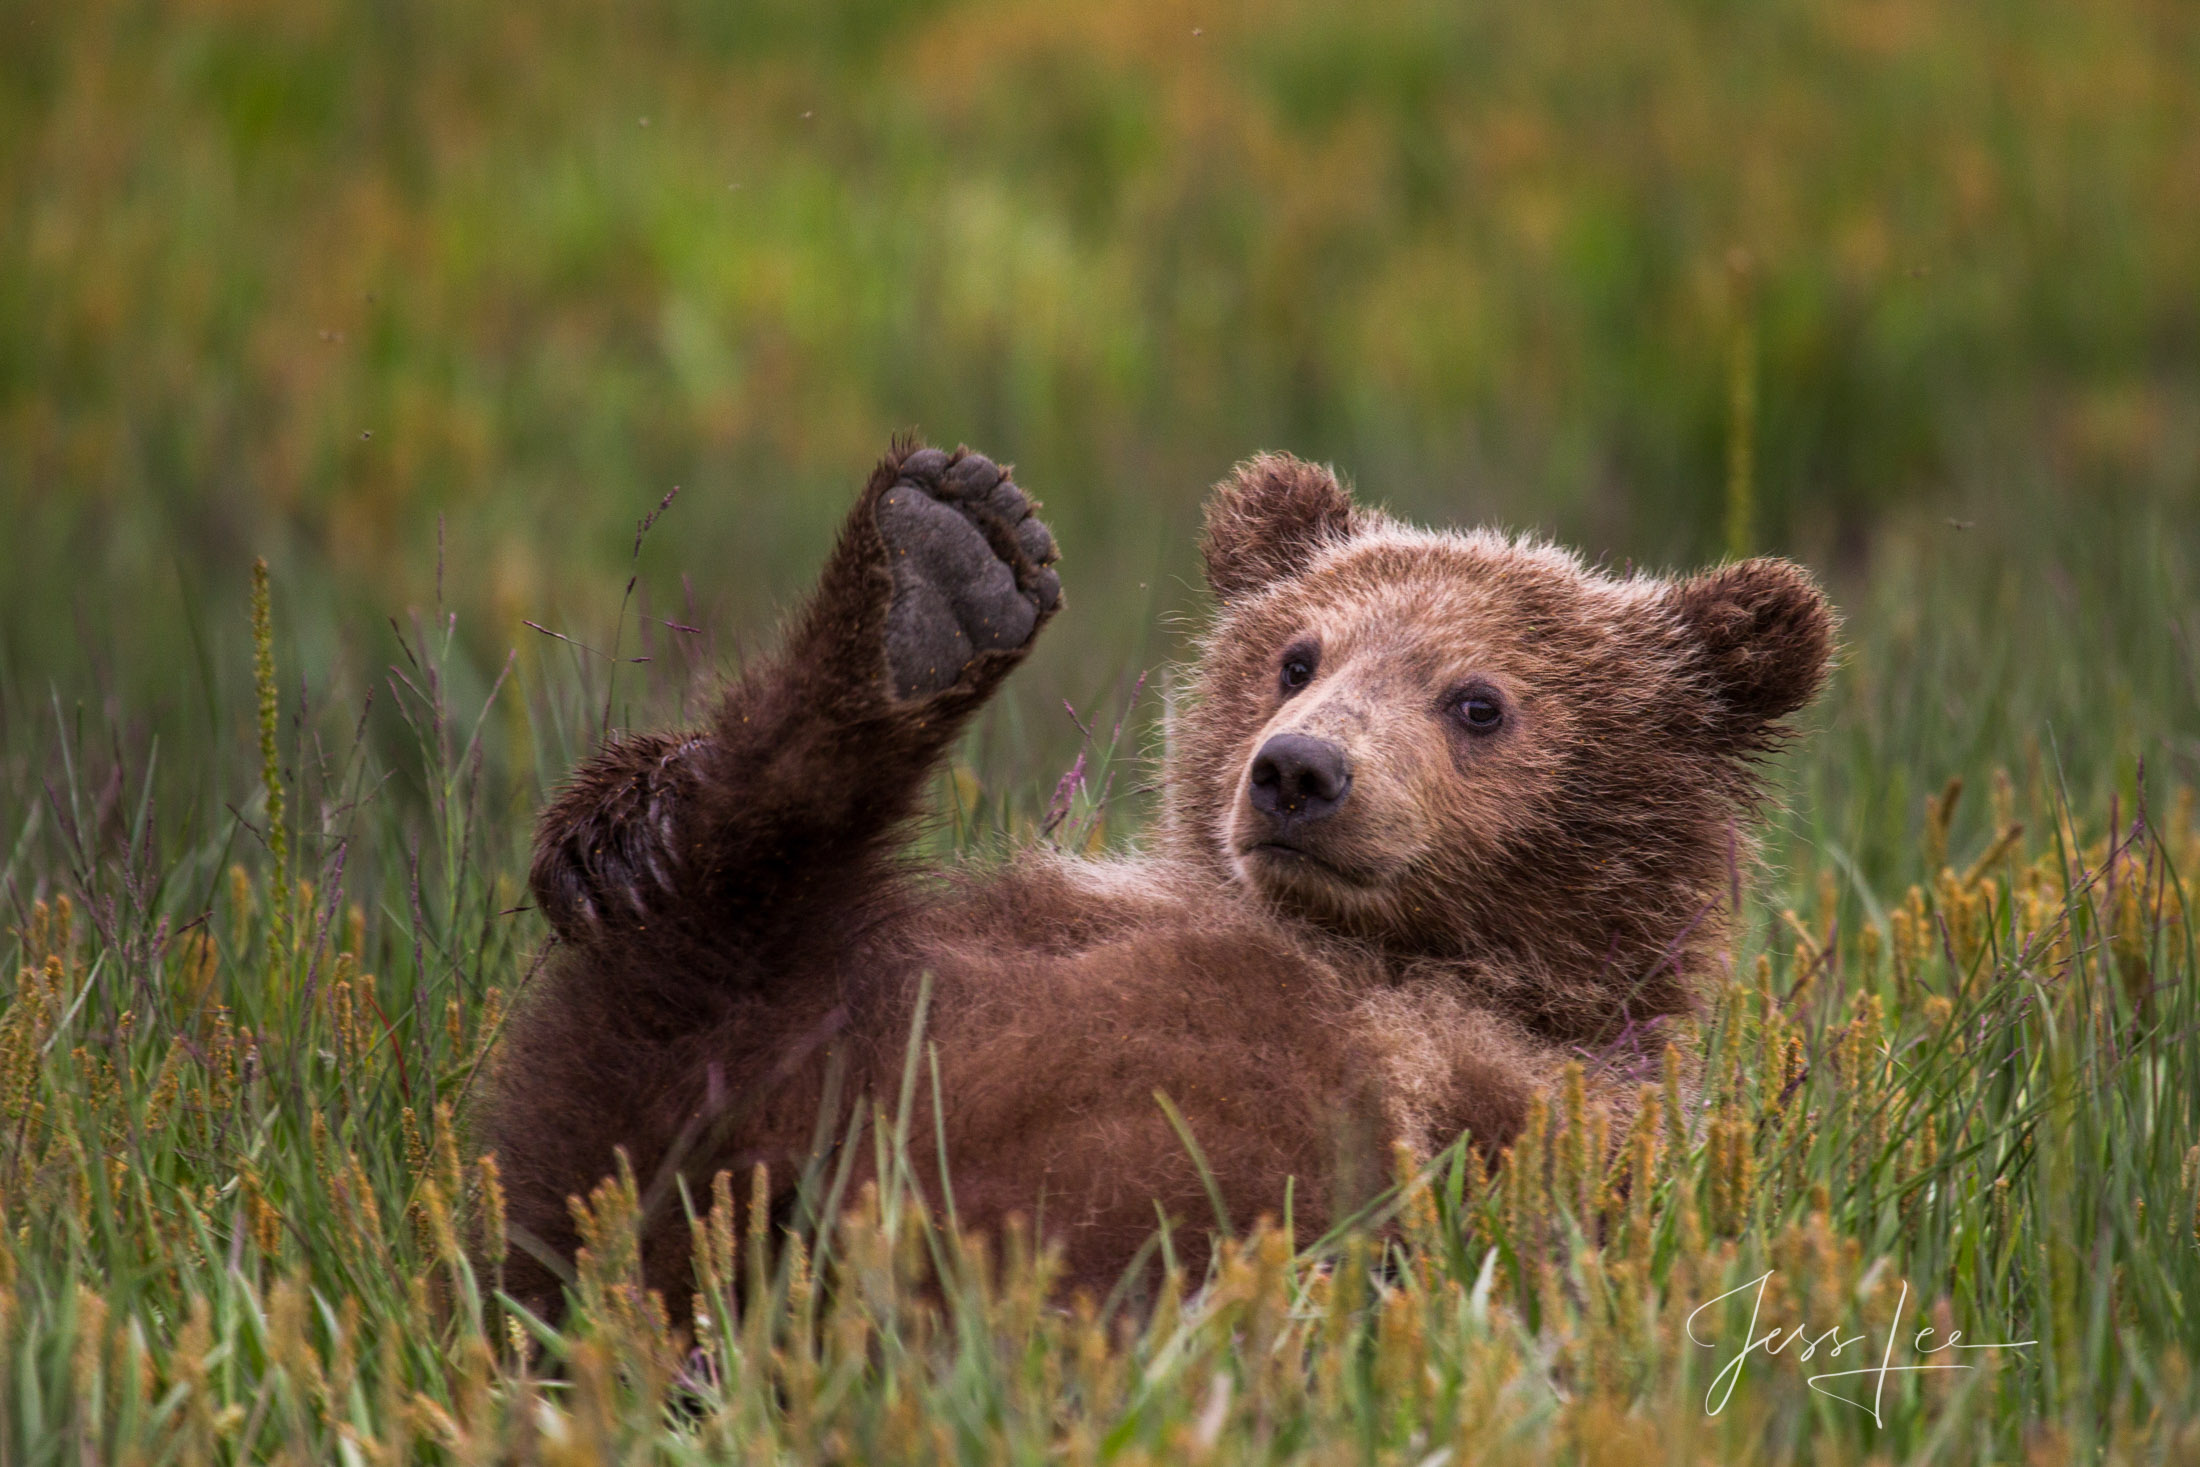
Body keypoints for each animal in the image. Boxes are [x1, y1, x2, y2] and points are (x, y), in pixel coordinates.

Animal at [486, 439, 1839, 1319]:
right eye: (1297, 656)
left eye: (1477, 701)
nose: (1296, 771)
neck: (1388, 952)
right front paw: (609, 834)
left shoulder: (1541, 1113)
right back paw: (933, 574)